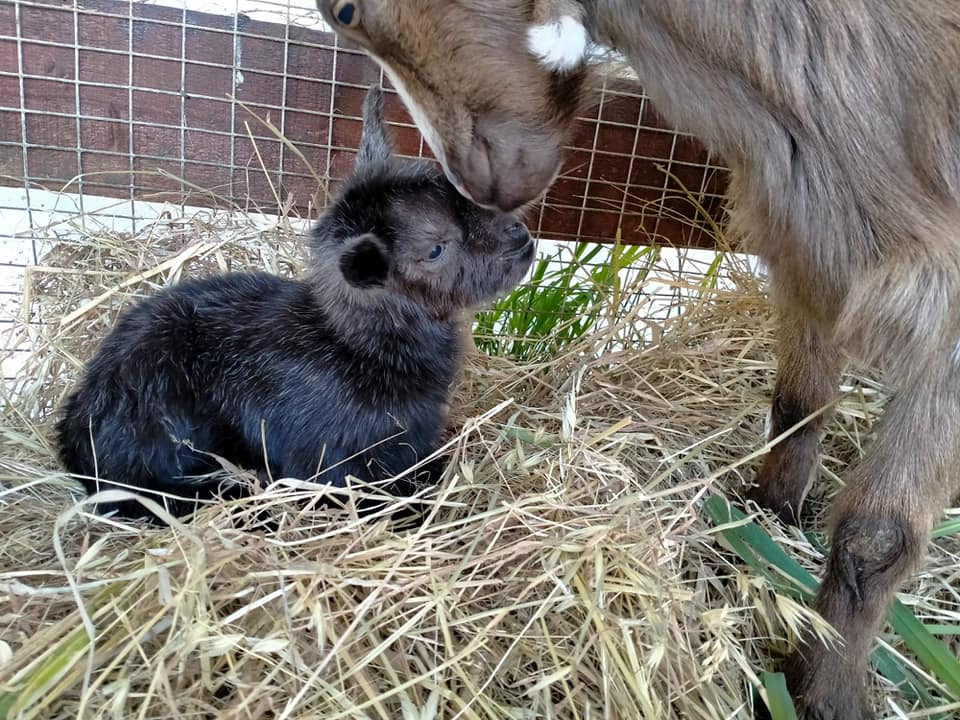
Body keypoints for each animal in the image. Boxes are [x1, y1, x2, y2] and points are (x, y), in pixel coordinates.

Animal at [318, 2, 960, 716]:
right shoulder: (808, 241)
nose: (484, 185)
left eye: (347, 13)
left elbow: (875, 537)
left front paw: (822, 693)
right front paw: (768, 516)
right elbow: (798, 404)